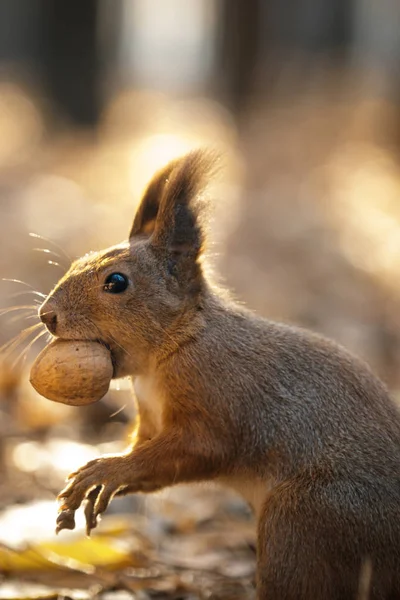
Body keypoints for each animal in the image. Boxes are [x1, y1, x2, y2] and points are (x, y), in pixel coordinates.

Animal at [38, 151, 400, 600]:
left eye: (116, 282)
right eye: (77, 261)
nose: (47, 316)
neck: (171, 349)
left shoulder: (218, 400)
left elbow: (201, 448)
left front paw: (108, 470)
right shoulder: (151, 421)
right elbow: (150, 457)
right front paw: (99, 477)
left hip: (302, 518)